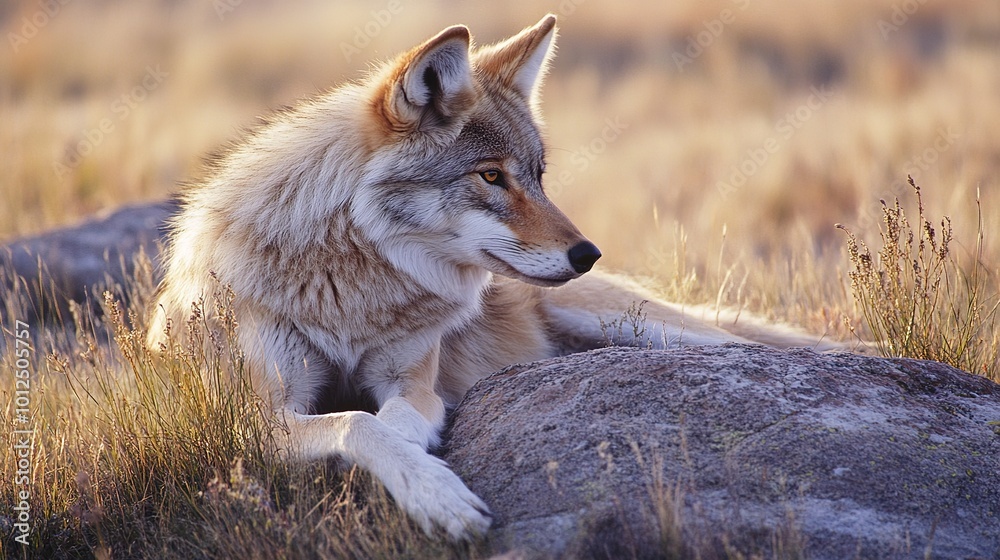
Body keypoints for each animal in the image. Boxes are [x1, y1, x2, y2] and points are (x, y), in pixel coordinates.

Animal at [148, 14, 826, 540]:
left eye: (538, 175)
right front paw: (434, 492)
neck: (351, 284)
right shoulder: (258, 419)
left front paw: (426, 478)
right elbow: (358, 424)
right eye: (492, 176)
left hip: (645, 329)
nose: (587, 252)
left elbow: (389, 421)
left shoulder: (413, 381)